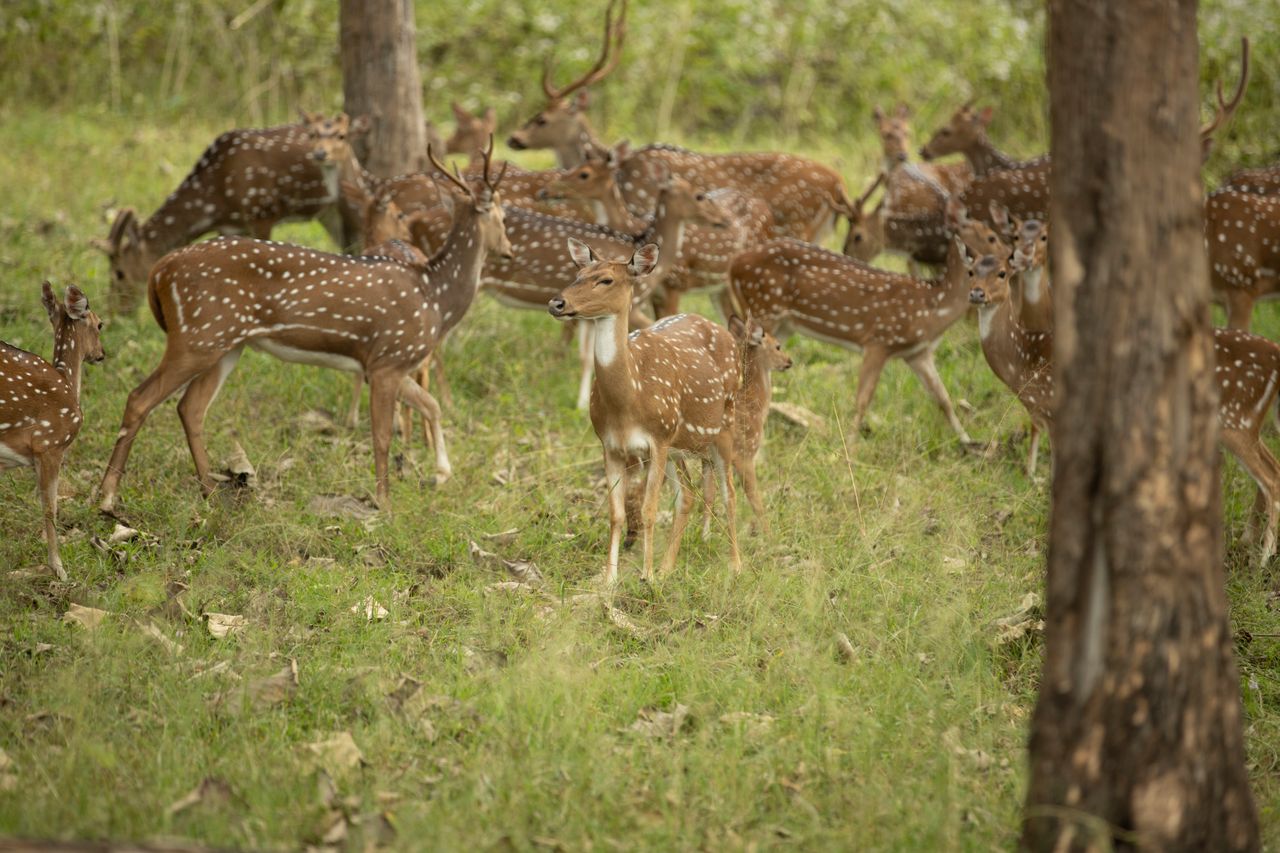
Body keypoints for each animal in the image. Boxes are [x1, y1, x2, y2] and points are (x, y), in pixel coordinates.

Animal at [96, 111, 371, 313]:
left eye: (119, 273)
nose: (115, 312)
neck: (216, 198)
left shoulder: (262, 209)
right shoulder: (229, 225)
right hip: (327, 212)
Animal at [98, 142, 511, 513]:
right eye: (500, 213)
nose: (507, 249)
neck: (435, 298)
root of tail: (159, 271)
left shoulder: (387, 361)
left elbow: (432, 405)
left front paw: (440, 474)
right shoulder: (388, 358)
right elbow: (381, 436)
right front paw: (385, 504)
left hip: (225, 344)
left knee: (190, 408)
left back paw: (209, 493)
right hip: (197, 336)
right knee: (140, 398)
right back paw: (106, 498)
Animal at [548, 239, 742, 585]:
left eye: (606, 280)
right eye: (578, 274)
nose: (556, 303)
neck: (628, 400)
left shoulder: (658, 437)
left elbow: (649, 510)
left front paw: (646, 575)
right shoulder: (610, 444)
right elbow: (616, 514)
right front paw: (610, 579)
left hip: (723, 424)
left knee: (728, 492)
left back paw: (735, 566)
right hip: (678, 447)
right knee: (688, 494)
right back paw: (668, 568)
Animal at [967, 252, 1280, 563]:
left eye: (1003, 273)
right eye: (971, 271)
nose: (976, 293)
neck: (1025, 360)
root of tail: (1275, 357)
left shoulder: (1055, 415)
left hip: (1235, 420)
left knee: (1271, 479)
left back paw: (1263, 558)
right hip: (1246, 422)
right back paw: (1248, 542)